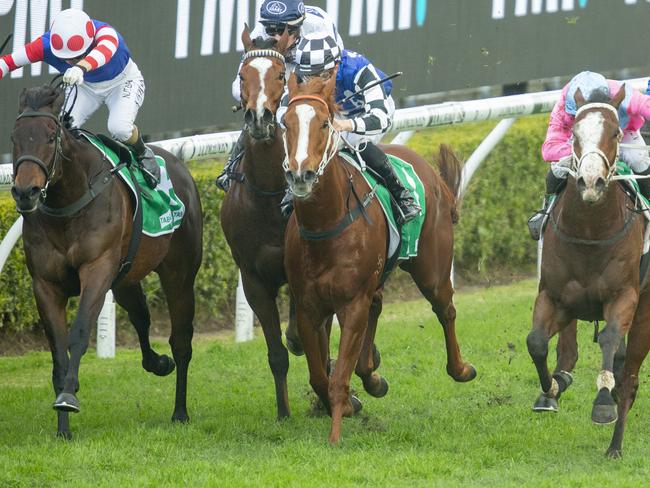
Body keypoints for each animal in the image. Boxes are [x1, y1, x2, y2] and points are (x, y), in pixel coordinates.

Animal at [10, 86, 201, 440]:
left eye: (51, 136)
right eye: (15, 137)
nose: (25, 192)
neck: (68, 202)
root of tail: (177, 164)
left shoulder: (97, 269)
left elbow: (79, 332)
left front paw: (68, 396)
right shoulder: (45, 284)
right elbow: (58, 348)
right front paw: (63, 429)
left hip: (179, 274)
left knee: (181, 340)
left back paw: (180, 411)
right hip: (125, 278)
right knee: (141, 318)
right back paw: (158, 363)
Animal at [280, 72, 474, 442]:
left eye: (324, 123)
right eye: (285, 123)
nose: (300, 174)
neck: (326, 224)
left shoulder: (351, 301)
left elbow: (337, 379)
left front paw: (335, 436)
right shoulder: (309, 307)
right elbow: (319, 377)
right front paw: (348, 405)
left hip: (431, 267)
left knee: (446, 308)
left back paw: (460, 368)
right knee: (379, 305)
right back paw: (371, 374)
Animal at [524, 87, 644, 458]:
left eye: (616, 133)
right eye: (574, 135)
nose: (591, 181)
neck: (591, 233)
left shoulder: (625, 296)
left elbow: (609, 339)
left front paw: (603, 402)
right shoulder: (556, 297)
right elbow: (536, 342)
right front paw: (550, 389)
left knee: (630, 376)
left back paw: (615, 445)